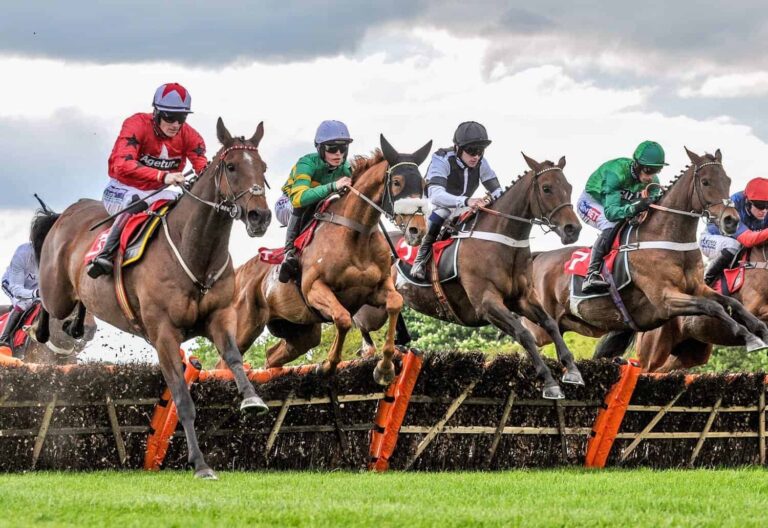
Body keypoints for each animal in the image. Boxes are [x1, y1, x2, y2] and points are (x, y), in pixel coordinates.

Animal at [33, 118, 272, 479]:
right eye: (231, 166)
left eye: (263, 167)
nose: (261, 217)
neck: (196, 252)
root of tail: (65, 213)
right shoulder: (164, 333)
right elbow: (182, 401)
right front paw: (200, 464)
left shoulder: (219, 316)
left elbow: (233, 357)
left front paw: (252, 400)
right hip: (56, 290)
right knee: (44, 301)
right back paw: (42, 330)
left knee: (78, 306)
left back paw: (75, 326)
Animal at [233, 135, 431, 386]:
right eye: (396, 182)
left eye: (423, 184)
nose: (417, 230)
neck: (357, 234)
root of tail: (239, 272)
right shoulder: (314, 289)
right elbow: (343, 319)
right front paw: (327, 365)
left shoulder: (376, 289)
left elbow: (395, 303)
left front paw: (384, 368)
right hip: (244, 329)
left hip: (301, 332)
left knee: (271, 356)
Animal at [355, 153, 584, 399]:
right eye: (546, 188)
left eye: (569, 187)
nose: (572, 229)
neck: (503, 241)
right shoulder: (486, 303)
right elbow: (523, 333)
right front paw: (550, 382)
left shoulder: (522, 298)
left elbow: (550, 323)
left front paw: (572, 370)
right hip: (373, 313)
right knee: (361, 327)